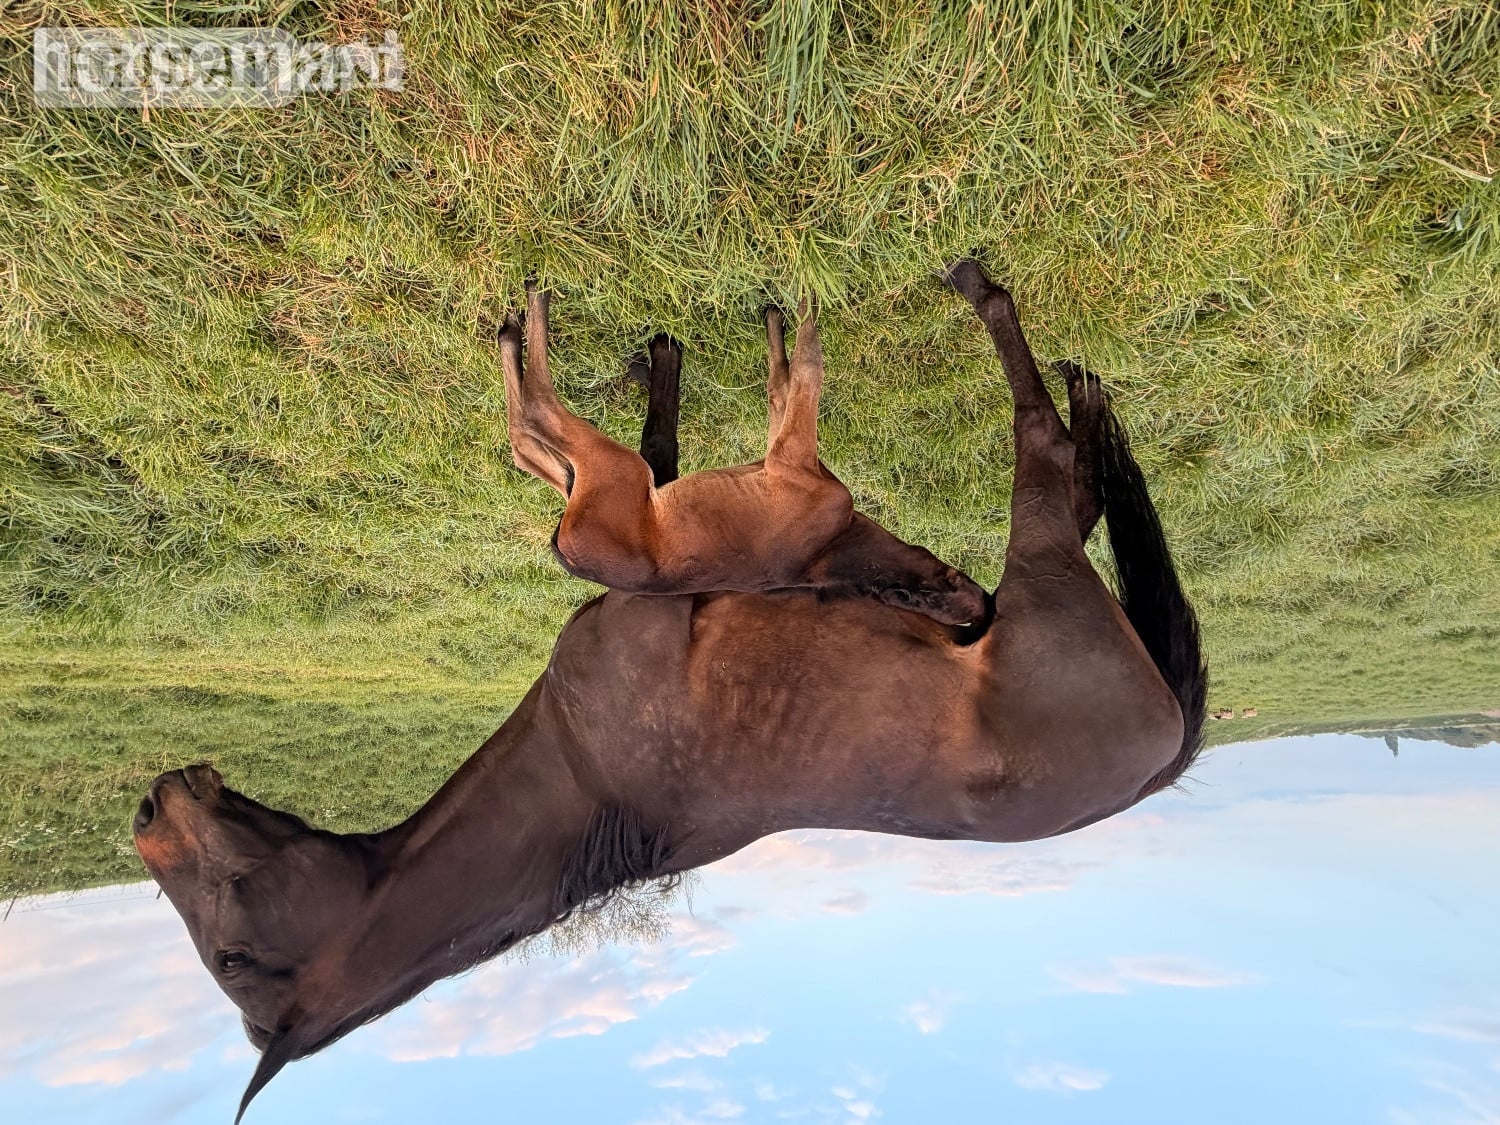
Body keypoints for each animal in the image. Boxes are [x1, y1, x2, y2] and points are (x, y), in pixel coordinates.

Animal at [499, 286, 988, 624]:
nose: (985, 597)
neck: (837, 553)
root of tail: (568, 554)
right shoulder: (784, 456)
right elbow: (791, 376)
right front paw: (794, 306)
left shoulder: (787, 458)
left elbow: (804, 369)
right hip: (614, 472)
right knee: (529, 433)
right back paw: (523, 318)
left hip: (617, 472)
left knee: (531, 418)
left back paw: (524, 315)